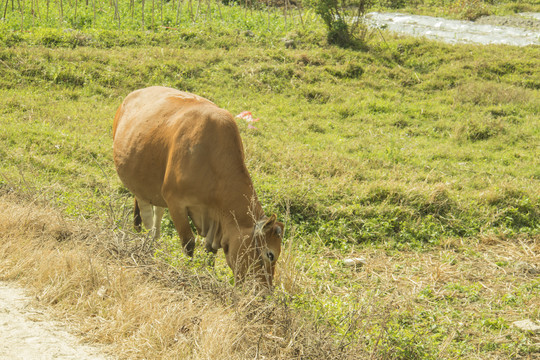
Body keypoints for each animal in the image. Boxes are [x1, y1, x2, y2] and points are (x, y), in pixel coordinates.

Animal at [112, 86, 284, 286]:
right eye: (270, 254)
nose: (266, 290)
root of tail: (135, 93)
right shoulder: (175, 202)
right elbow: (189, 243)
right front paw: (189, 269)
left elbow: (210, 251)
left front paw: (207, 272)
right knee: (143, 215)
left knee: (156, 213)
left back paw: (154, 242)